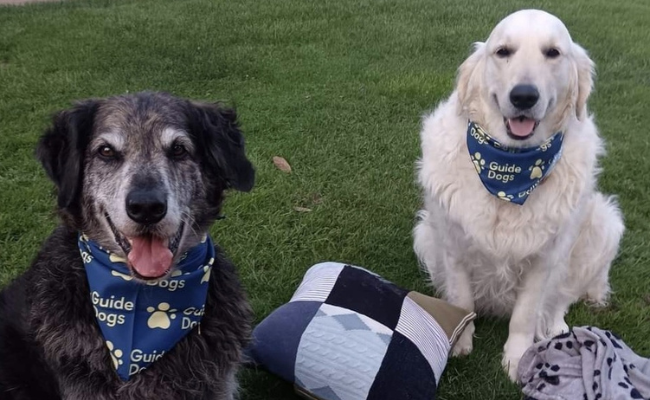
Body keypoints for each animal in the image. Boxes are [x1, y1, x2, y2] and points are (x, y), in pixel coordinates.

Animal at [416, 8, 624, 378]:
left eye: (553, 53)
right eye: (503, 52)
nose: (524, 96)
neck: (510, 170)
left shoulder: (545, 257)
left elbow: (526, 314)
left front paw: (517, 357)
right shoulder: (454, 246)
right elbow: (462, 302)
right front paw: (460, 342)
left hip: (603, 224)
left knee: (563, 297)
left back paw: (555, 326)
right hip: (423, 233)